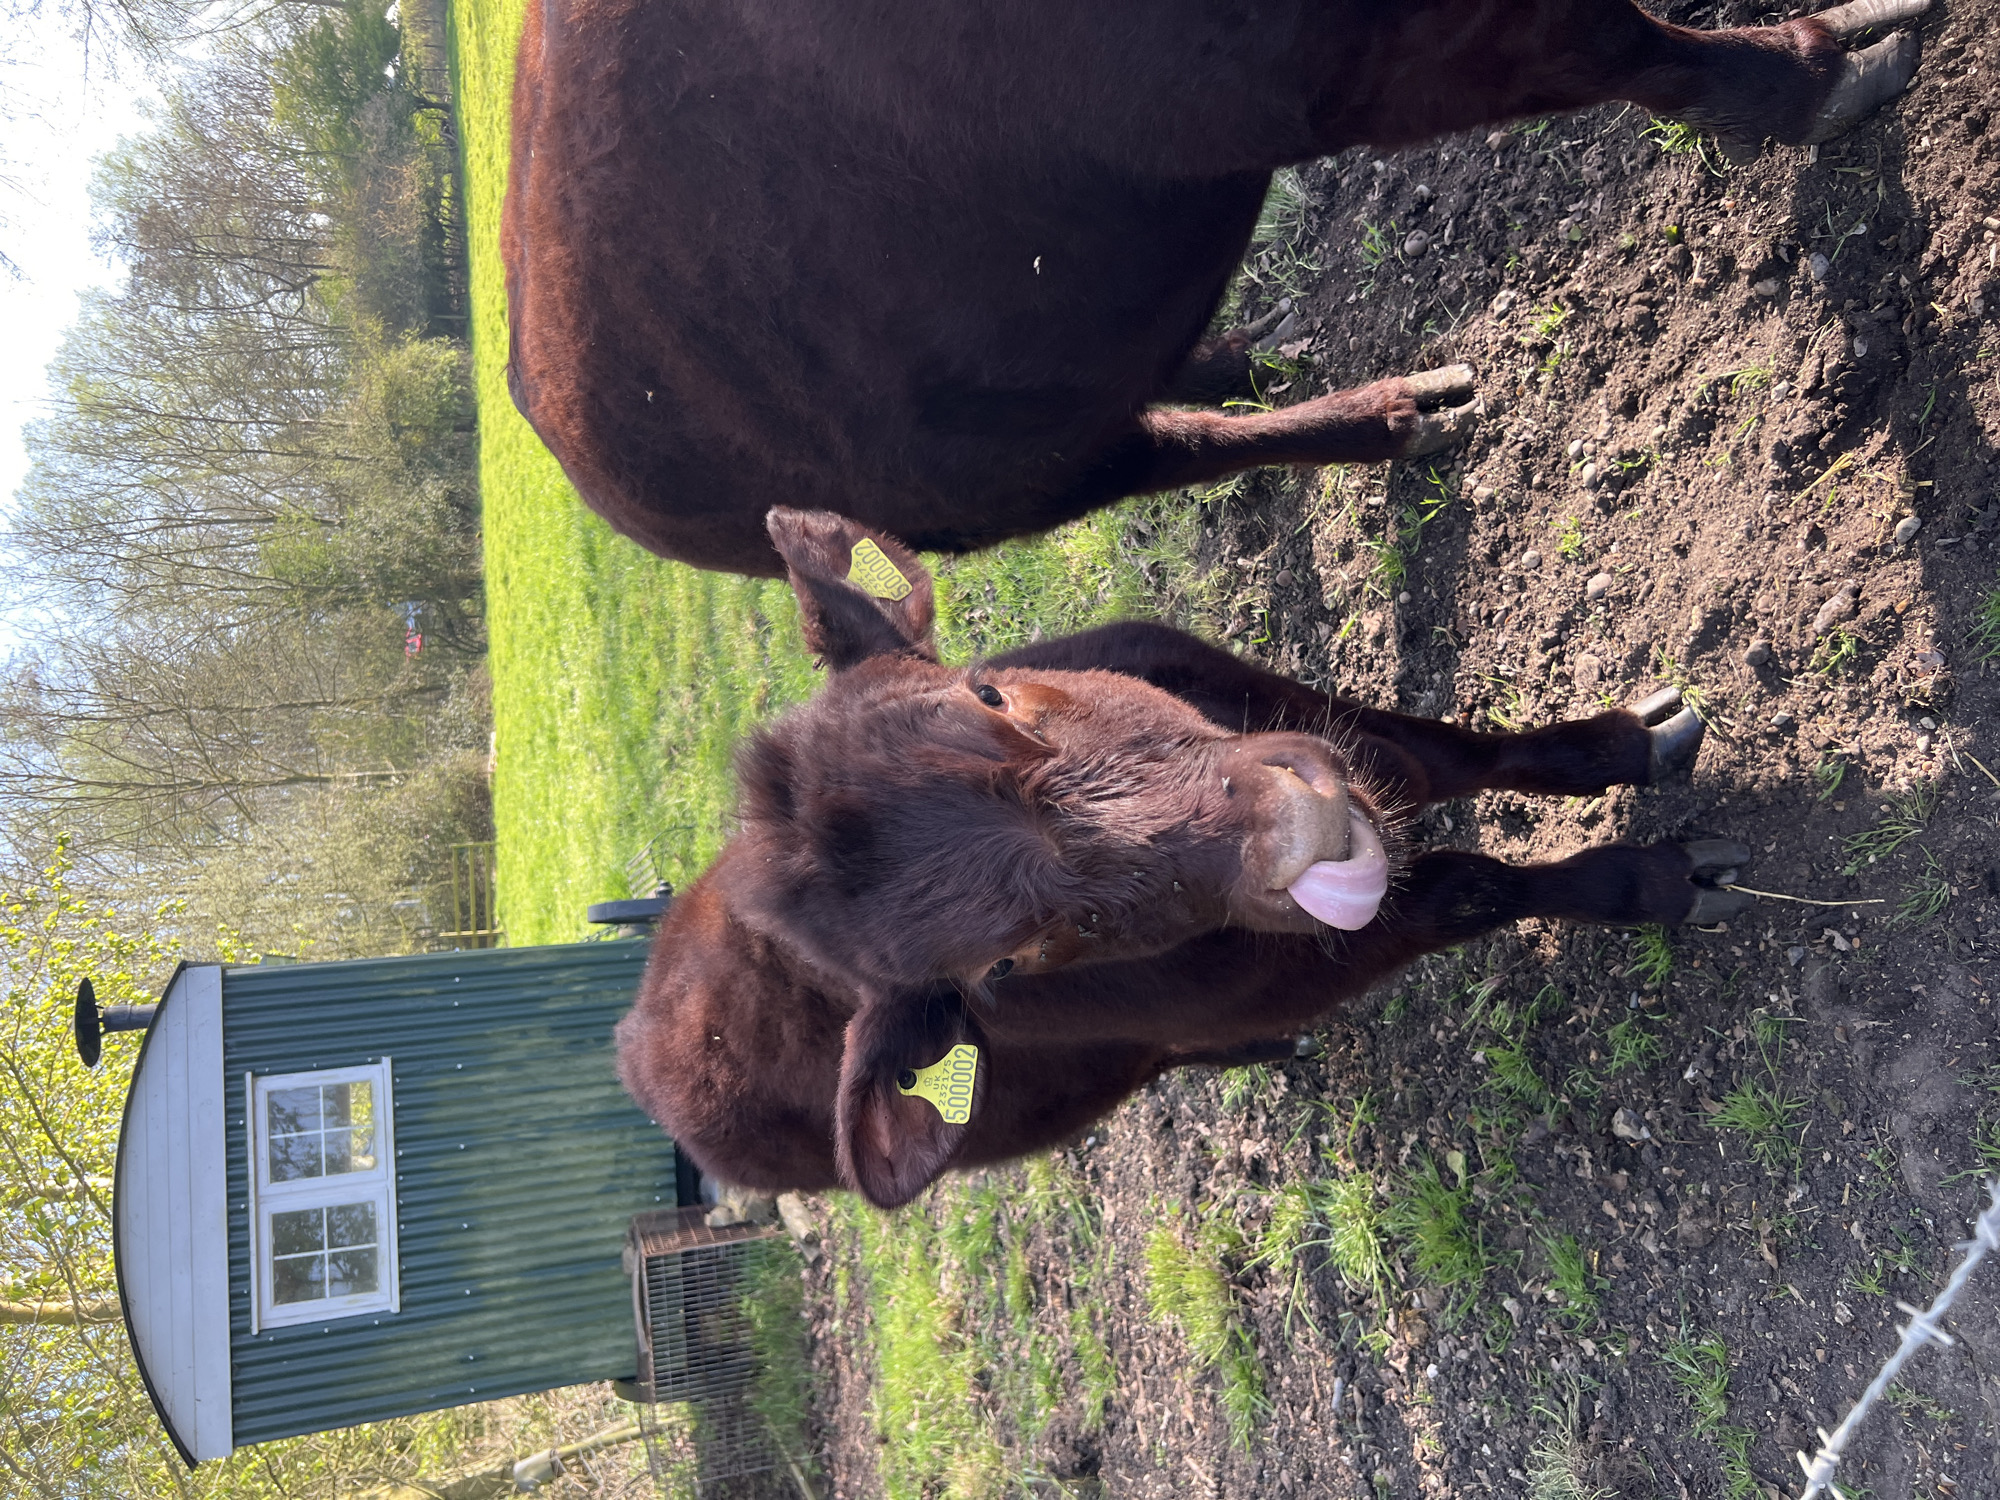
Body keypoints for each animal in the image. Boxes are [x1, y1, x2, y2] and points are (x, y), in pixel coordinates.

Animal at [504, 0, 1929, 578]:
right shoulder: (1352, 62)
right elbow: (1618, 46)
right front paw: (1830, 65)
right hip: (1010, 483)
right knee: (1179, 450)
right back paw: (1410, 411)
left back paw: (1254, 349)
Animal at [615, 510, 1756, 1208]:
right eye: (1003, 963)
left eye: (989, 695)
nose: (1297, 830)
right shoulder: (1325, 948)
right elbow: (1480, 884)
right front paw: (1663, 880)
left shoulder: (1294, 713)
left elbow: (1447, 749)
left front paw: (1624, 742)